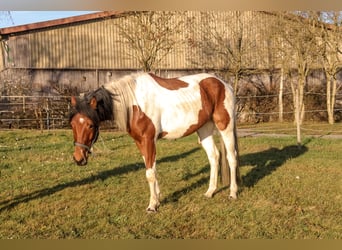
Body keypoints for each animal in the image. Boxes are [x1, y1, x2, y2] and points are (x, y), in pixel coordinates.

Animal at [69, 71, 240, 212]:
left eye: (90, 125)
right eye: (72, 124)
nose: (78, 158)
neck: (134, 103)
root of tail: (224, 84)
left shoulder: (148, 140)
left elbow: (150, 173)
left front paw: (152, 205)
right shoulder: (140, 142)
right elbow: (151, 169)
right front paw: (157, 199)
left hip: (225, 126)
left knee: (231, 157)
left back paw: (233, 193)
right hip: (204, 129)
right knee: (214, 156)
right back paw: (210, 192)